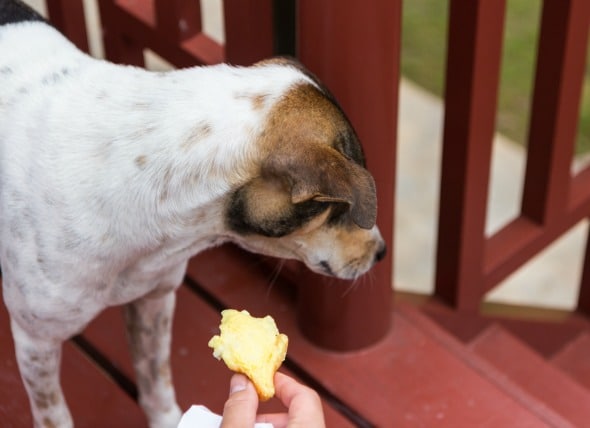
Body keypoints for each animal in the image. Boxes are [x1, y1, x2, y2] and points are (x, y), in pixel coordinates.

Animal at [0, 1, 386, 427]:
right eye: (342, 209)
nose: (382, 252)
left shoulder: (154, 297)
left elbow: (156, 381)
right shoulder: (36, 341)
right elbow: (54, 414)